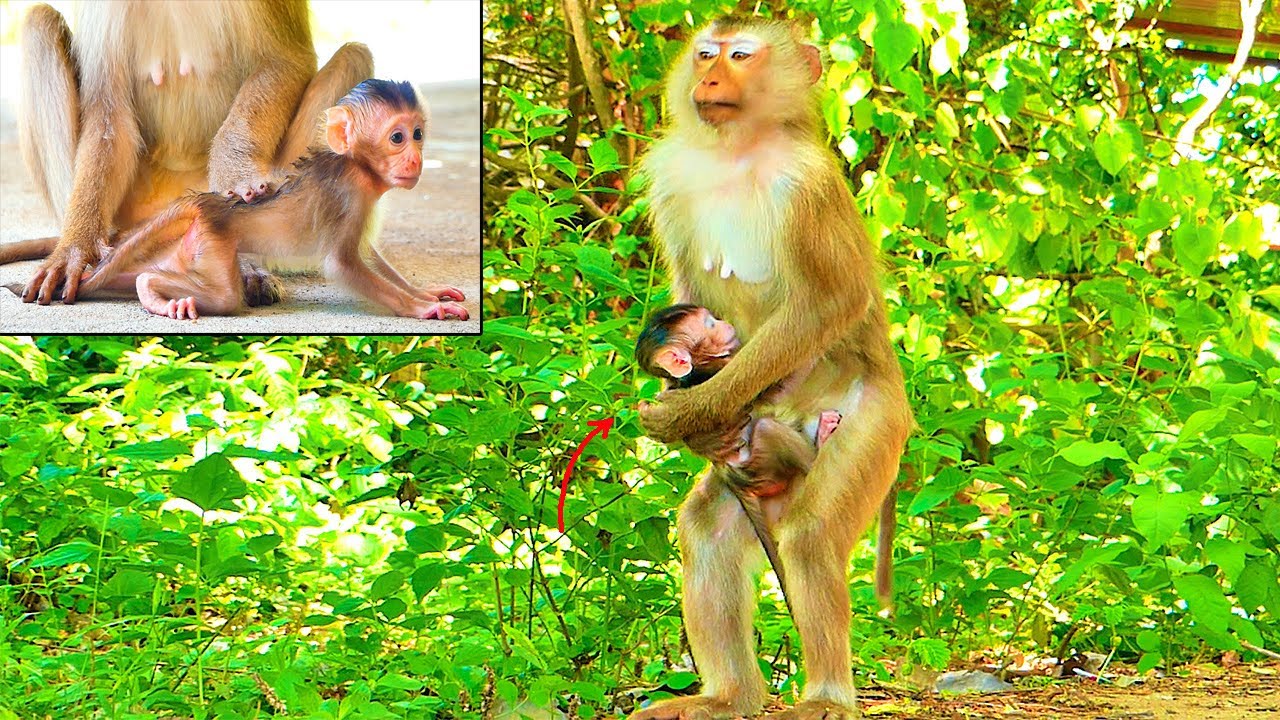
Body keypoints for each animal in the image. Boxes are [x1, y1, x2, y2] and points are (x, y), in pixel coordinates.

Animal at [3, 80, 469, 322]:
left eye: (418, 134)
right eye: (397, 137)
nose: (415, 158)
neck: (357, 166)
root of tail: (206, 203)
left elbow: (368, 254)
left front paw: (425, 291)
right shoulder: (348, 193)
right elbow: (343, 264)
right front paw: (425, 309)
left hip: (194, 244)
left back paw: (145, 286)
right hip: (214, 242)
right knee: (225, 297)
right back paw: (151, 291)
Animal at [14, 1, 374, 306]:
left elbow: (286, 58)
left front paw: (233, 169)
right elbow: (108, 111)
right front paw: (75, 250)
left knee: (353, 58)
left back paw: (241, 265)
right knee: (39, 25)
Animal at [632, 17, 911, 720]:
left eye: (740, 56)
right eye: (705, 54)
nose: (708, 80)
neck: (737, 152)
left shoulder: (807, 182)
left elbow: (832, 301)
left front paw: (693, 411)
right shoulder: (673, 177)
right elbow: (685, 286)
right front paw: (694, 416)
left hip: (876, 425)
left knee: (811, 536)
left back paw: (828, 695)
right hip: (754, 476)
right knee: (706, 530)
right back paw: (727, 696)